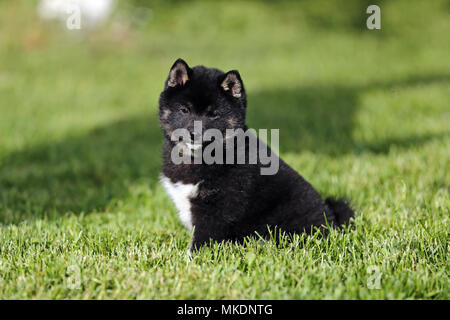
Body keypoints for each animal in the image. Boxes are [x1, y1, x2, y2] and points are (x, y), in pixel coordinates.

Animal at [160, 58, 354, 251]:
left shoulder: (217, 208)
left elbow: (201, 241)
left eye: (213, 115)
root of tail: (333, 220)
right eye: (184, 110)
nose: (194, 133)